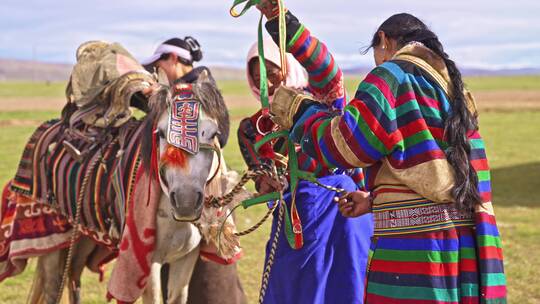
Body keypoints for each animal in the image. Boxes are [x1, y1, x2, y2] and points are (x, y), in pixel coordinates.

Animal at [0, 70, 232, 302]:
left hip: (84, 234)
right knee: (53, 287)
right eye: (160, 133)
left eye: (213, 134)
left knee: (73, 275)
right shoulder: (147, 262)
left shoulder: (186, 258)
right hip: (52, 238)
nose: (186, 201)